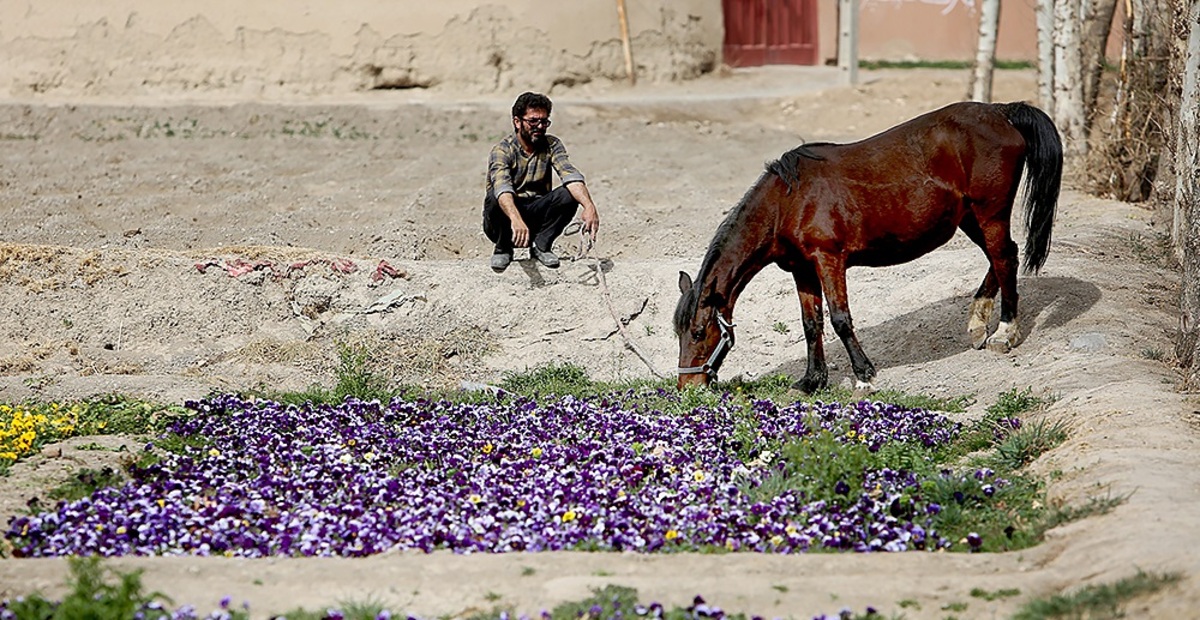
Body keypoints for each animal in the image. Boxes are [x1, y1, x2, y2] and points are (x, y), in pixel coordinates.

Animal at [676, 101, 1060, 390]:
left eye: (699, 331)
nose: (688, 386)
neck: (787, 201)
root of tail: (1001, 112)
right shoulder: (802, 270)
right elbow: (810, 323)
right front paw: (812, 380)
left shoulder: (828, 260)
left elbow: (840, 319)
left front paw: (863, 374)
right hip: (970, 218)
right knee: (1005, 256)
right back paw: (978, 323)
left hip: (989, 213)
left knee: (1004, 258)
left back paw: (1005, 332)